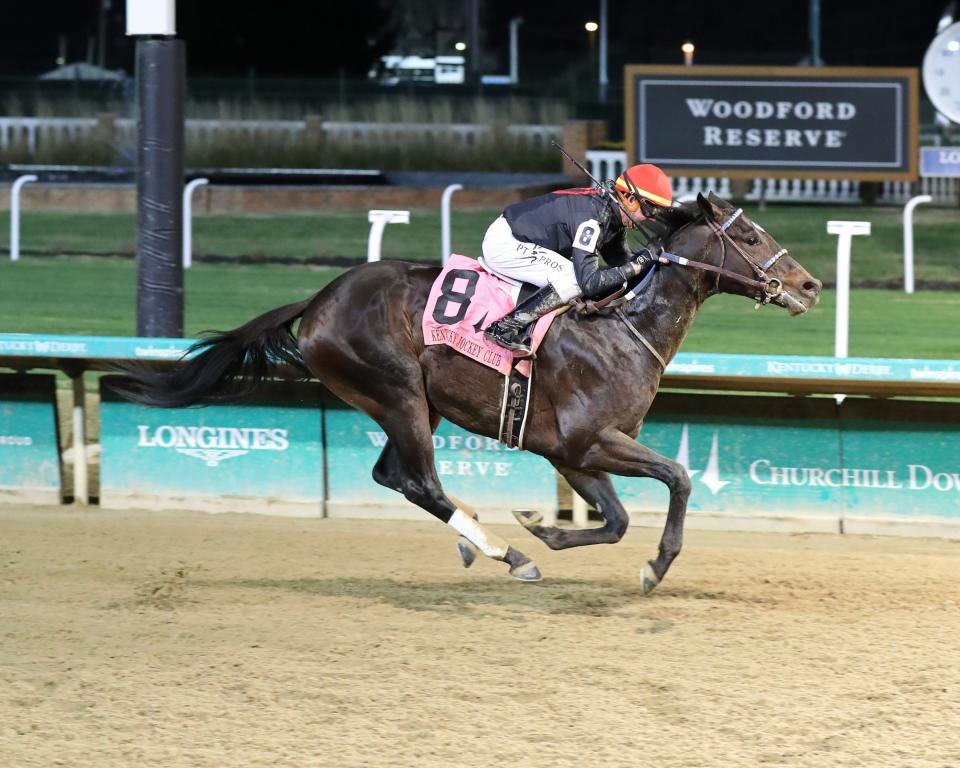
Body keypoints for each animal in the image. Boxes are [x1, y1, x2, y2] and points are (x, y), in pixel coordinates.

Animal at [112, 195, 816, 592]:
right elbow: (678, 478)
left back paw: (484, 539)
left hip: (411, 405)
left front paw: (544, 528)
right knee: (419, 481)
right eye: (748, 237)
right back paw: (505, 553)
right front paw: (655, 565)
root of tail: (317, 301)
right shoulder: (591, 440)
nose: (809, 286)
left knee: (395, 476)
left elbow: (614, 521)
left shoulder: (570, 453)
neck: (622, 327)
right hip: (396, 392)